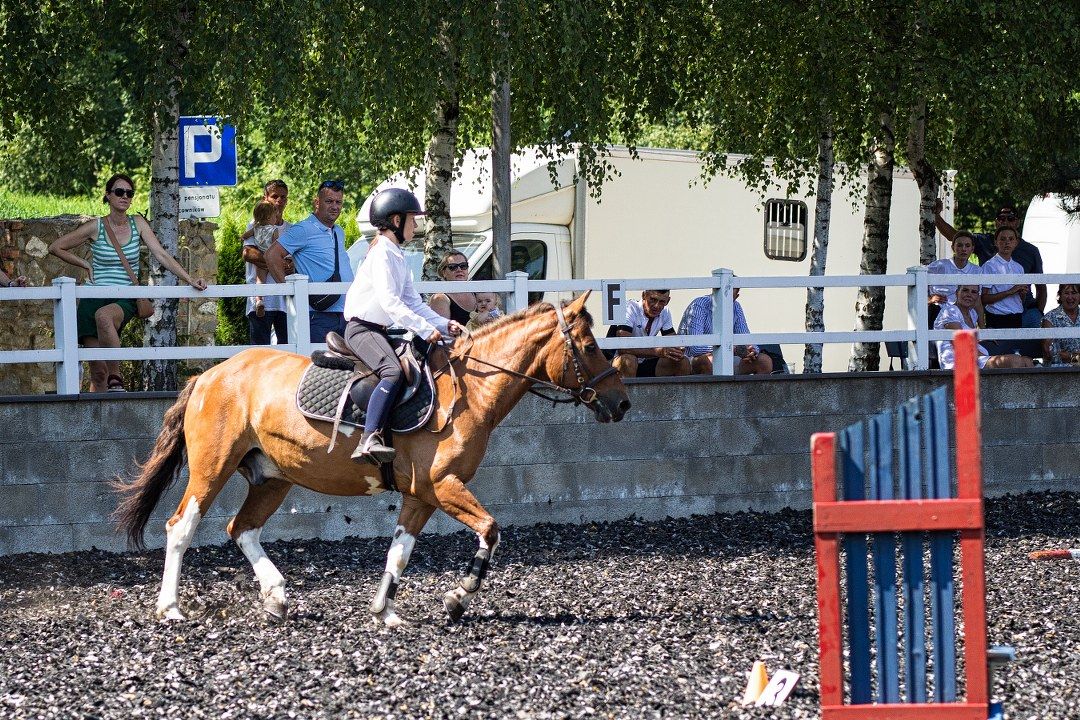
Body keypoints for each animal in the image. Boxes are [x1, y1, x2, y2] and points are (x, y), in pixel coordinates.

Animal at [114, 292, 630, 626]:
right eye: (589, 347)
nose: (622, 404)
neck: (468, 391)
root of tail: (208, 375)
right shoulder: (444, 486)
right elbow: (490, 530)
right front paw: (458, 598)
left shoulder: (422, 495)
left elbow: (399, 551)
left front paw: (386, 611)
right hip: (212, 467)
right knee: (181, 527)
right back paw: (171, 608)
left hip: (272, 477)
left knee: (241, 529)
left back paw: (276, 597)